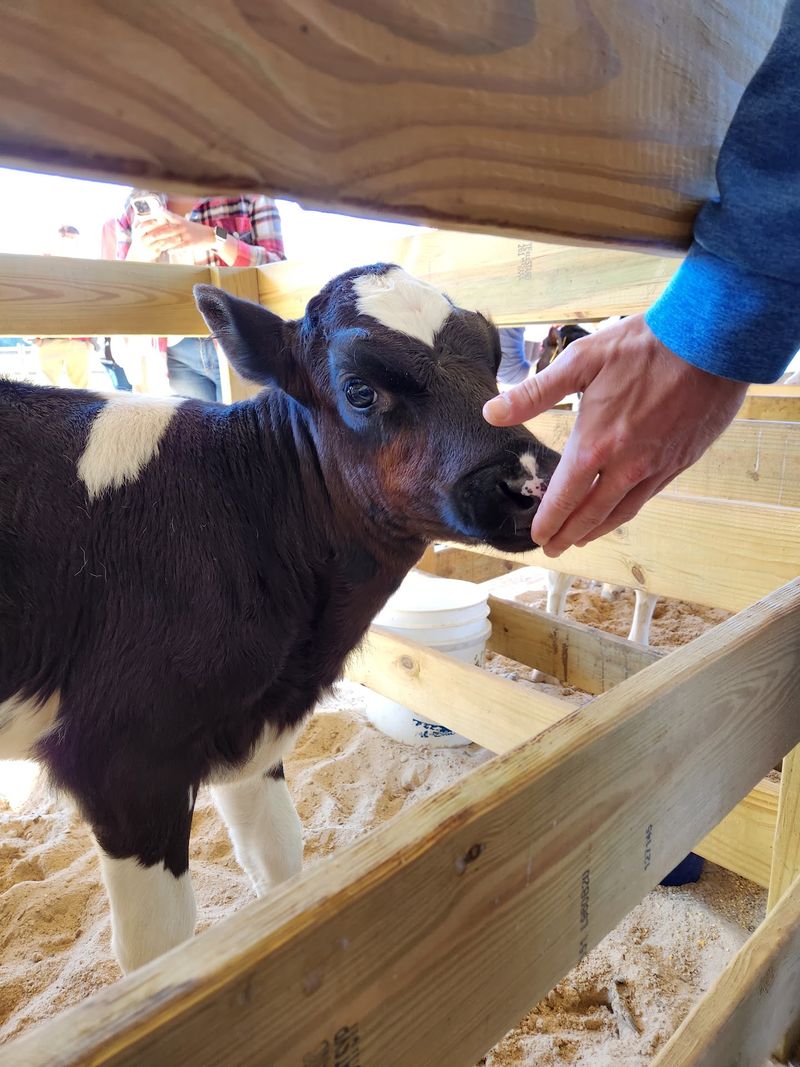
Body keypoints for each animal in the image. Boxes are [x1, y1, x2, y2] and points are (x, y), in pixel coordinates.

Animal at [0, 263, 560, 973]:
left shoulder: (250, 730)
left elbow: (279, 866)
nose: (529, 480)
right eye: (359, 389)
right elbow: (159, 949)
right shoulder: (123, 759)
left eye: (491, 358)